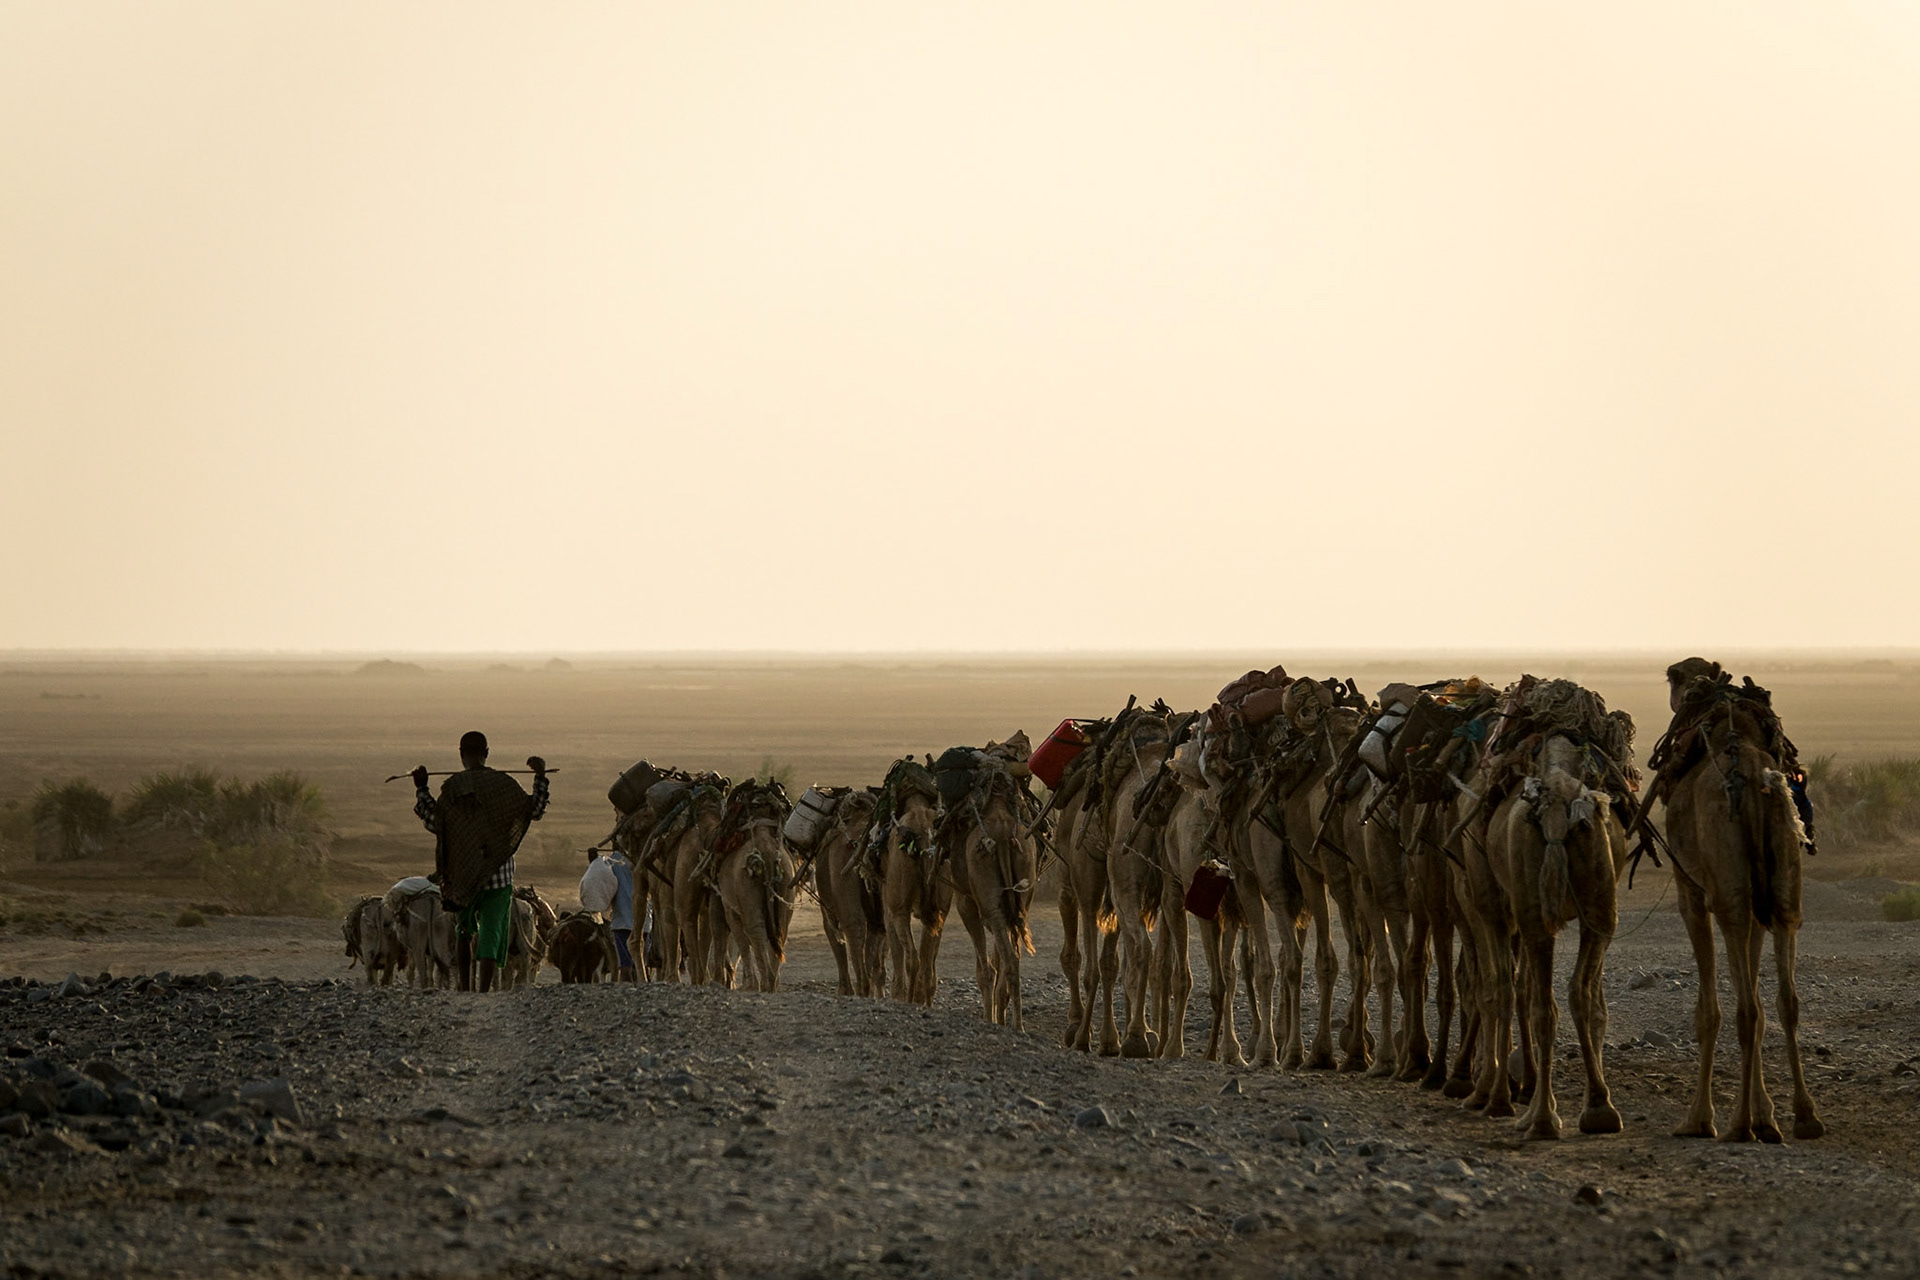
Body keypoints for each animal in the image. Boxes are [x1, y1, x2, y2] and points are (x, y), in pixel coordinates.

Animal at [712, 781, 796, 993]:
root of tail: (766, 851)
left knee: (754, 929)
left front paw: (749, 983)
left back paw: (763, 983)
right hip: (785, 883)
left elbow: (741, 938)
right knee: (780, 929)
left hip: (746, 886)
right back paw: (772, 982)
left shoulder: (730, 906)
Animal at [877, 758, 948, 1004]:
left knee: (912, 959)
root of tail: (924, 836)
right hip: (939, 907)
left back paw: (906, 998)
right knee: (926, 964)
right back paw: (923, 1000)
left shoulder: (891, 909)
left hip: (899, 907)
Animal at [946, 765, 1037, 1029]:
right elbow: (997, 964)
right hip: (1023, 879)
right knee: (1013, 958)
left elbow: (985, 970)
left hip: (987, 896)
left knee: (1008, 959)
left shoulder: (966, 902)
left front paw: (989, 1018)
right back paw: (1017, 1023)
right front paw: (999, 1016)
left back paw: (1014, 1024)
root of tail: (1005, 835)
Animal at [1656, 661, 1824, 1143]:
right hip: (1782, 882)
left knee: (1745, 1009)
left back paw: (1737, 1126)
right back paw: (1803, 1116)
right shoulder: (1758, 905)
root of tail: (1753, 780)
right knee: (1786, 999)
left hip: (1727, 890)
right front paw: (1767, 1114)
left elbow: (1708, 1011)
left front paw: (1699, 1118)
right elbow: (1765, 1001)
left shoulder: (1690, 888)